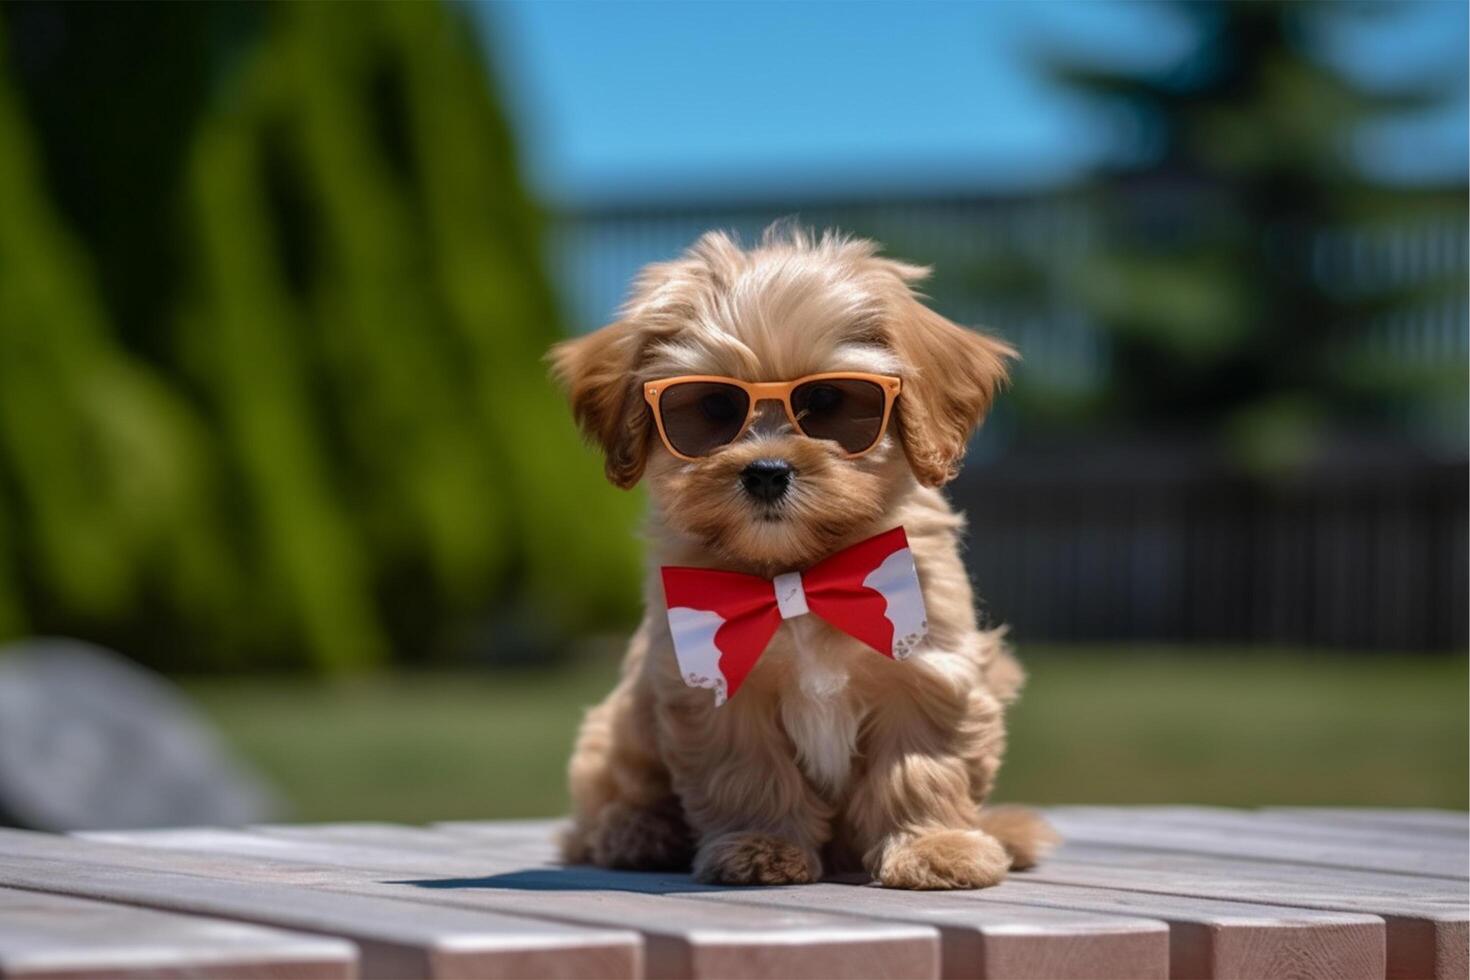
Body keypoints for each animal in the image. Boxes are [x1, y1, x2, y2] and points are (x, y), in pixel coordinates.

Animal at [546, 226, 1052, 893]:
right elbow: (748, 773)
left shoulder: (925, 668)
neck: (797, 574)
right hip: (615, 734)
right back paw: (638, 832)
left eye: (829, 401)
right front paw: (762, 846)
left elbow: (920, 766)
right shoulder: (716, 685)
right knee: (595, 816)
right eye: (713, 409)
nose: (766, 472)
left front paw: (935, 846)